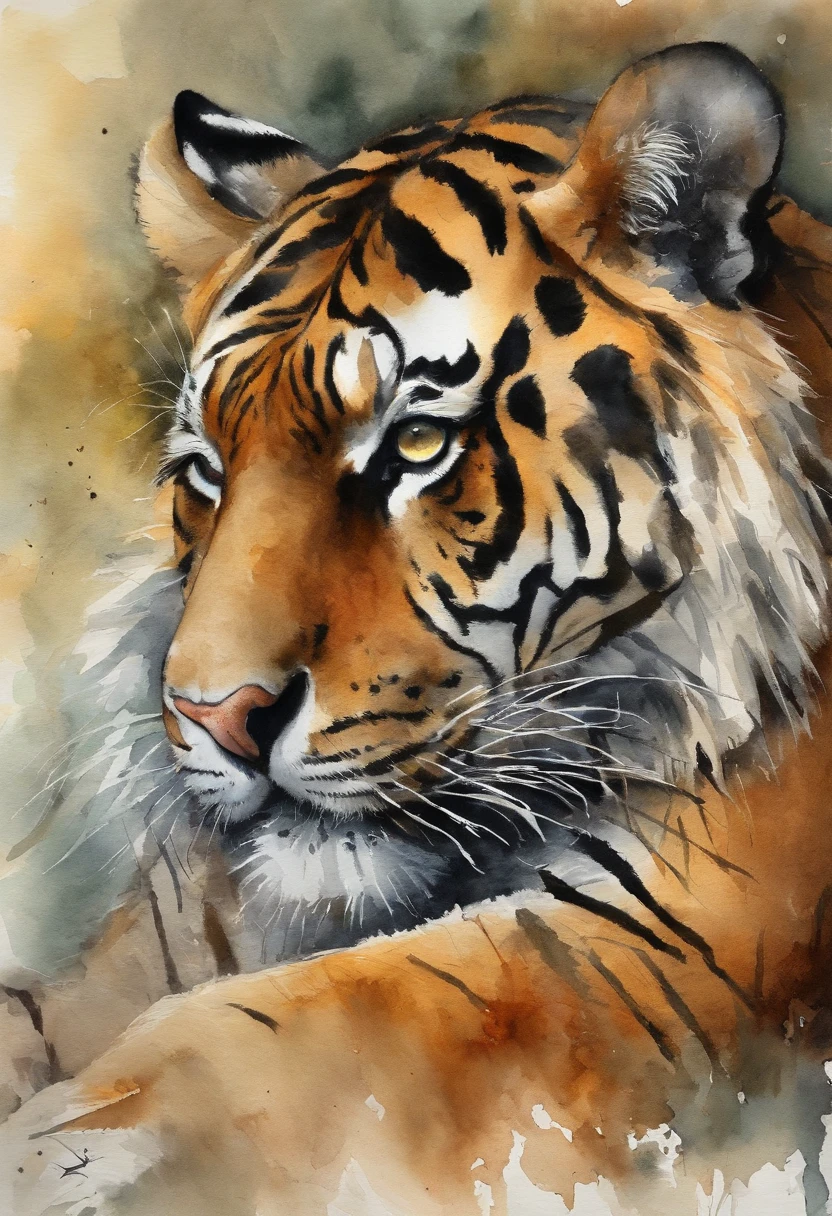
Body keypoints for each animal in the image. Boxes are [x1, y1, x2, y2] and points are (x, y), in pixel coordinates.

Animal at [5, 38, 832, 1215]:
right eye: (207, 471)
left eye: (414, 446)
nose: (215, 716)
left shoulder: (679, 939)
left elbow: (305, 1034)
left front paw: (64, 1154)